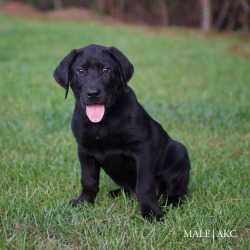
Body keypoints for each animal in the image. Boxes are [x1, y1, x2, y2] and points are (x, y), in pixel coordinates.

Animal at [52, 45, 189, 221]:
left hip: (179, 152)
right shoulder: (84, 150)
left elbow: (144, 185)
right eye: (80, 71)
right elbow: (88, 181)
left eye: (106, 70)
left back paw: (171, 203)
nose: (93, 93)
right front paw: (84, 202)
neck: (102, 121)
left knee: (176, 190)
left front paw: (151, 212)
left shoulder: (143, 149)